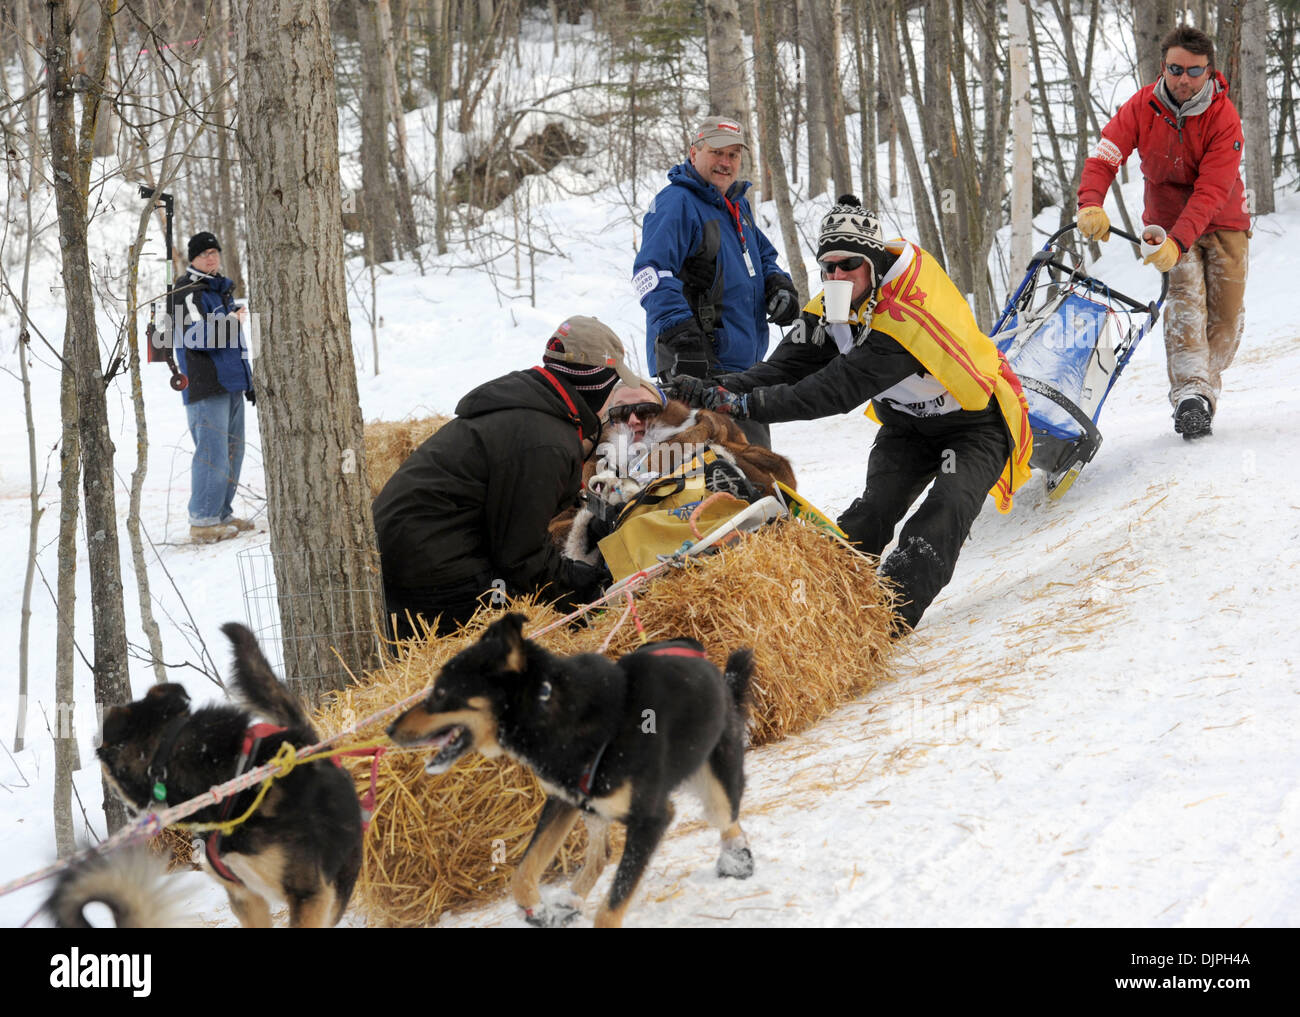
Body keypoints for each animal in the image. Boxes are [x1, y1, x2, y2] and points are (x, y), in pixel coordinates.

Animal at [384, 613, 754, 931]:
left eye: (441, 693)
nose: (388, 729)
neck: (553, 711)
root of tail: (717, 673)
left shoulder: (651, 819)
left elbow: (611, 907)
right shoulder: (561, 801)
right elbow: (523, 873)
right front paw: (538, 910)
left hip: (715, 786)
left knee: (728, 820)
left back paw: (737, 860)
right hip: (591, 806)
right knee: (601, 854)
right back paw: (569, 903)